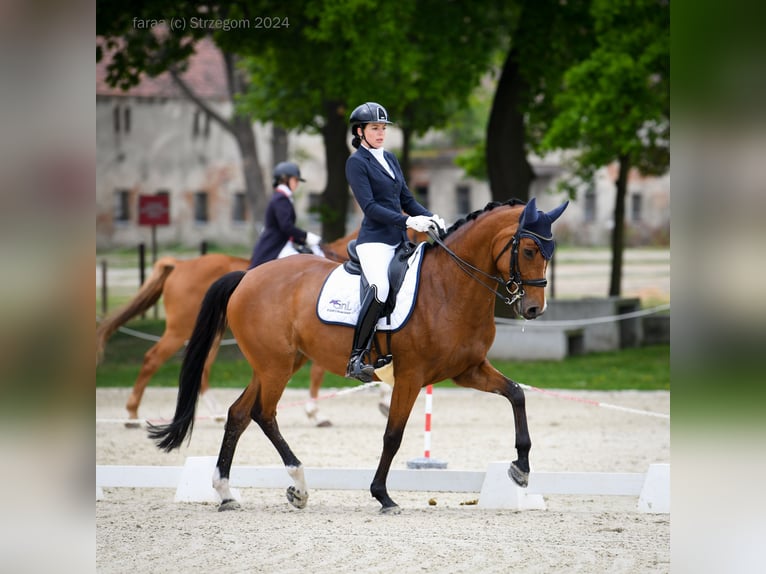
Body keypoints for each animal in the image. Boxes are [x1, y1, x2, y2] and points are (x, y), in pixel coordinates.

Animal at [97, 231, 366, 428]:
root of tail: (180, 264)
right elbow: (318, 372)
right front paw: (315, 413)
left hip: (213, 333)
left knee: (203, 366)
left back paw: (214, 412)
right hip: (180, 330)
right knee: (152, 359)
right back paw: (132, 414)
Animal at [152, 200, 568, 516]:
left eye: (549, 252)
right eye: (528, 250)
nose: (534, 309)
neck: (451, 286)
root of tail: (246, 276)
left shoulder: (468, 370)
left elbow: (516, 394)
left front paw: (520, 469)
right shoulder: (411, 377)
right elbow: (393, 435)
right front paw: (383, 496)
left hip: (276, 363)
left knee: (240, 414)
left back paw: (227, 491)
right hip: (276, 367)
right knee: (262, 413)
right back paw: (298, 483)